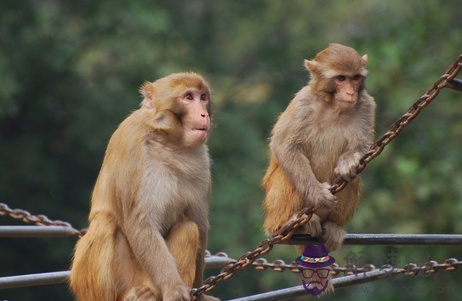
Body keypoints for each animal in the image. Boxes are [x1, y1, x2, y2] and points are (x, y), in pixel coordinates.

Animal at [69, 72, 219, 300]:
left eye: (203, 97)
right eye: (188, 97)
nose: (203, 114)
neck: (169, 140)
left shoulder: (202, 159)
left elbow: (199, 225)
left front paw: (199, 295)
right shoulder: (131, 144)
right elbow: (140, 221)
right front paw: (174, 288)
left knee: (187, 229)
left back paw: (150, 293)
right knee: (105, 224)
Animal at [262, 44, 374, 292]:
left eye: (355, 78)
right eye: (341, 78)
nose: (350, 93)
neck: (333, 106)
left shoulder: (366, 105)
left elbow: (362, 150)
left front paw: (349, 162)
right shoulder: (303, 101)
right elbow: (285, 146)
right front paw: (318, 194)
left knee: (352, 180)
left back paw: (333, 225)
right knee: (287, 175)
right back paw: (288, 224)